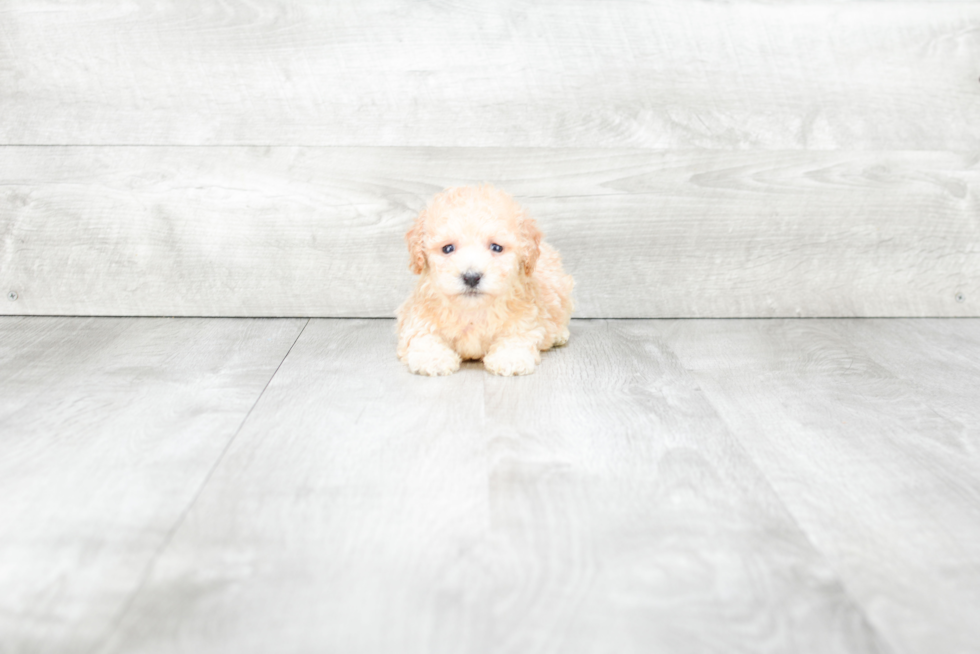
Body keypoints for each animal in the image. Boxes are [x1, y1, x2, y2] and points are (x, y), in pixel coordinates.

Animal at [396, 187, 576, 376]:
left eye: (496, 247)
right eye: (447, 248)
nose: (471, 277)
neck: (473, 311)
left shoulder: (525, 320)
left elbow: (516, 337)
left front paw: (509, 358)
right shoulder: (417, 319)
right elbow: (423, 337)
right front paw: (434, 359)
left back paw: (559, 334)